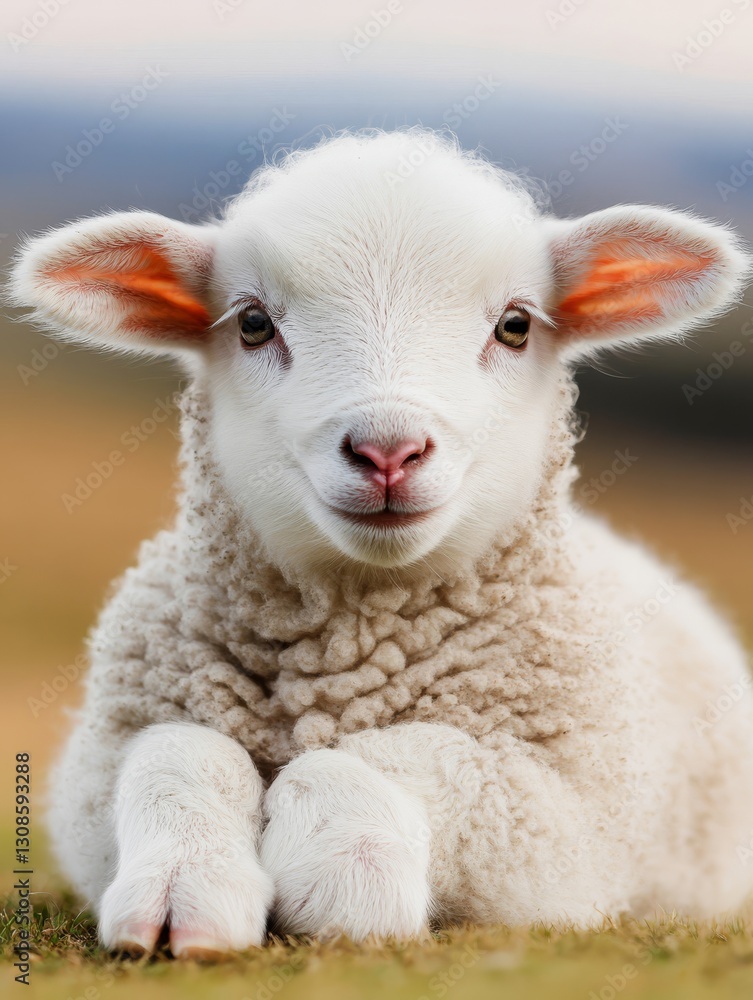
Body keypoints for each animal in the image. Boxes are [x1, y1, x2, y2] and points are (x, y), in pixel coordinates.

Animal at [10, 128, 753, 959]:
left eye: (516, 325)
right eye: (252, 323)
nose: (387, 451)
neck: (350, 638)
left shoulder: (565, 819)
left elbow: (407, 755)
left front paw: (341, 871)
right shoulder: (97, 768)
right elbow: (181, 749)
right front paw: (181, 885)